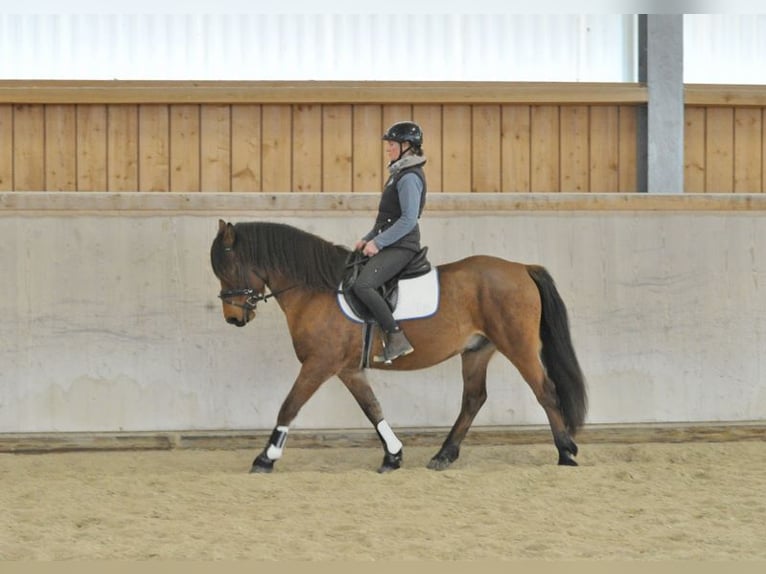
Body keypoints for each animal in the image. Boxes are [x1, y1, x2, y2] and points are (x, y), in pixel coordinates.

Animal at [210, 218, 588, 474]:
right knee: (473, 399)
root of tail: (522, 268)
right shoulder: (347, 369)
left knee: (545, 391)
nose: (233, 318)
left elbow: (289, 406)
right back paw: (443, 455)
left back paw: (566, 452)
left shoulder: (319, 364)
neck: (317, 290)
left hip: (517, 345)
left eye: (228, 268)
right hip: (477, 350)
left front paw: (265, 458)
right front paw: (393, 456)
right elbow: (372, 408)